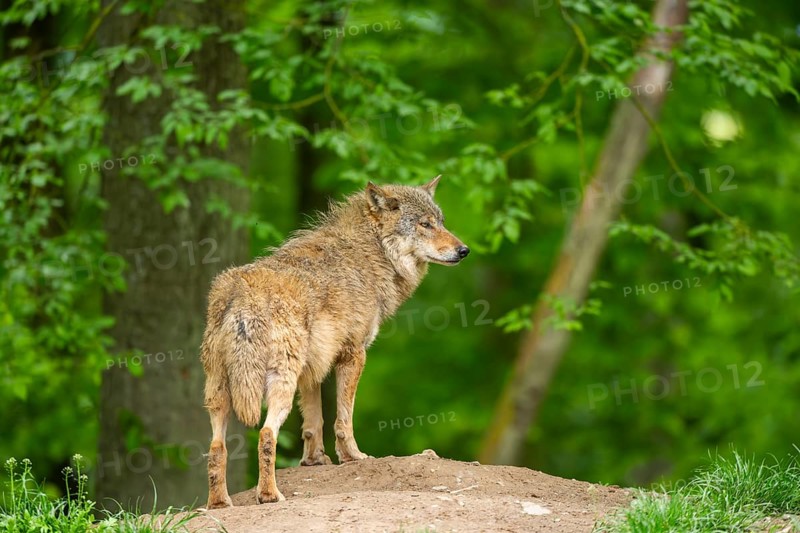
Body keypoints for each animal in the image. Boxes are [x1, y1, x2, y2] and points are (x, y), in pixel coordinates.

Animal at [200, 176, 469, 508]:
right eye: (425, 224)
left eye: (440, 222)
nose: (464, 250)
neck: (372, 253)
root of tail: (241, 296)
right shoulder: (354, 354)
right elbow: (344, 419)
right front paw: (353, 456)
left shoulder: (312, 368)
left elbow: (313, 422)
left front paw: (314, 461)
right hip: (278, 384)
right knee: (265, 434)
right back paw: (270, 495)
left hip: (220, 392)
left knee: (216, 447)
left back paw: (220, 503)